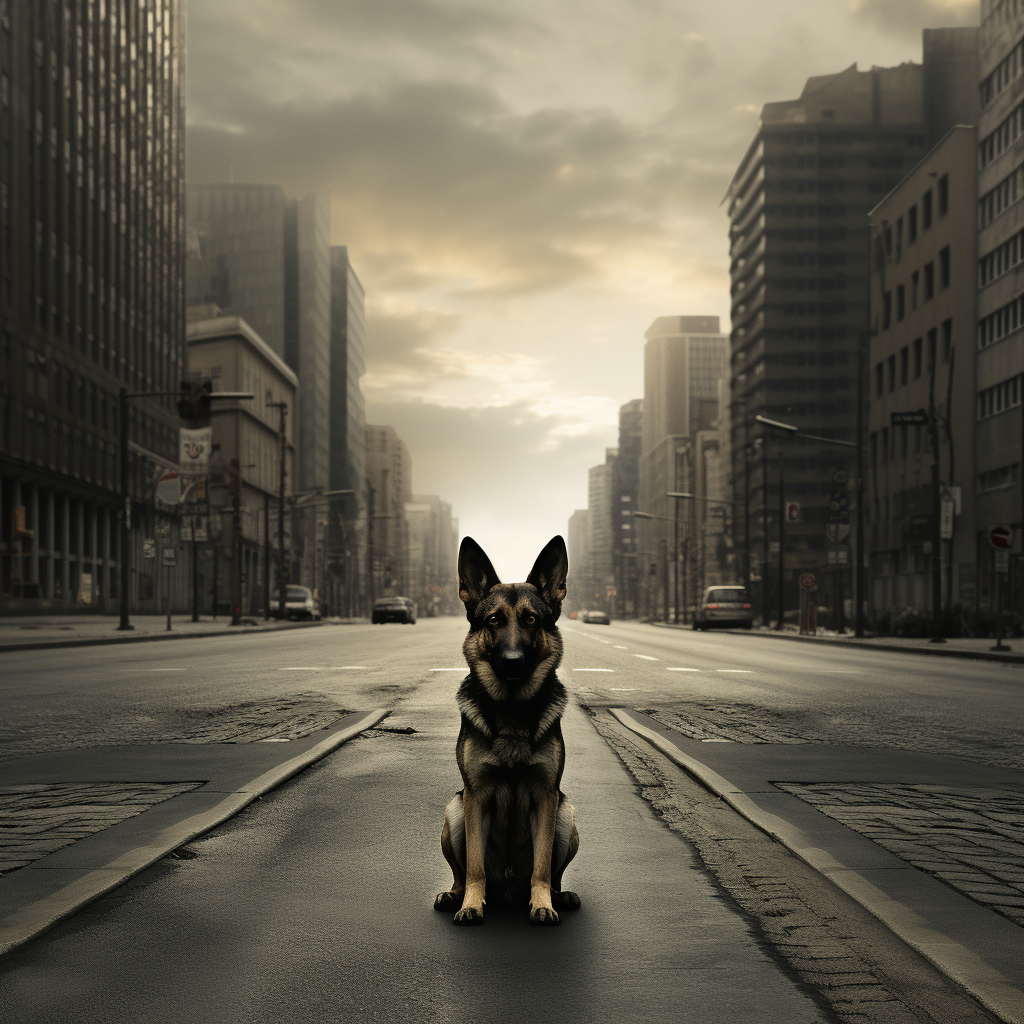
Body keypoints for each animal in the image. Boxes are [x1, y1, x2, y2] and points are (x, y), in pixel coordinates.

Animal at [432, 536, 577, 929]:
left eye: (531, 619)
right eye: (494, 620)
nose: (513, 662)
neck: (512, 708)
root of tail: (509, 887)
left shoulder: (546, 796)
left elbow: (542, 867)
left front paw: (543, 904)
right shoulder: (476, 795)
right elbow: (475, 867)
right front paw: (471, 905)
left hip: (566, 813)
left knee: (553, 874)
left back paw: (559, 896)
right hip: (454, 809)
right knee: (461, 872)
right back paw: (454, 895)